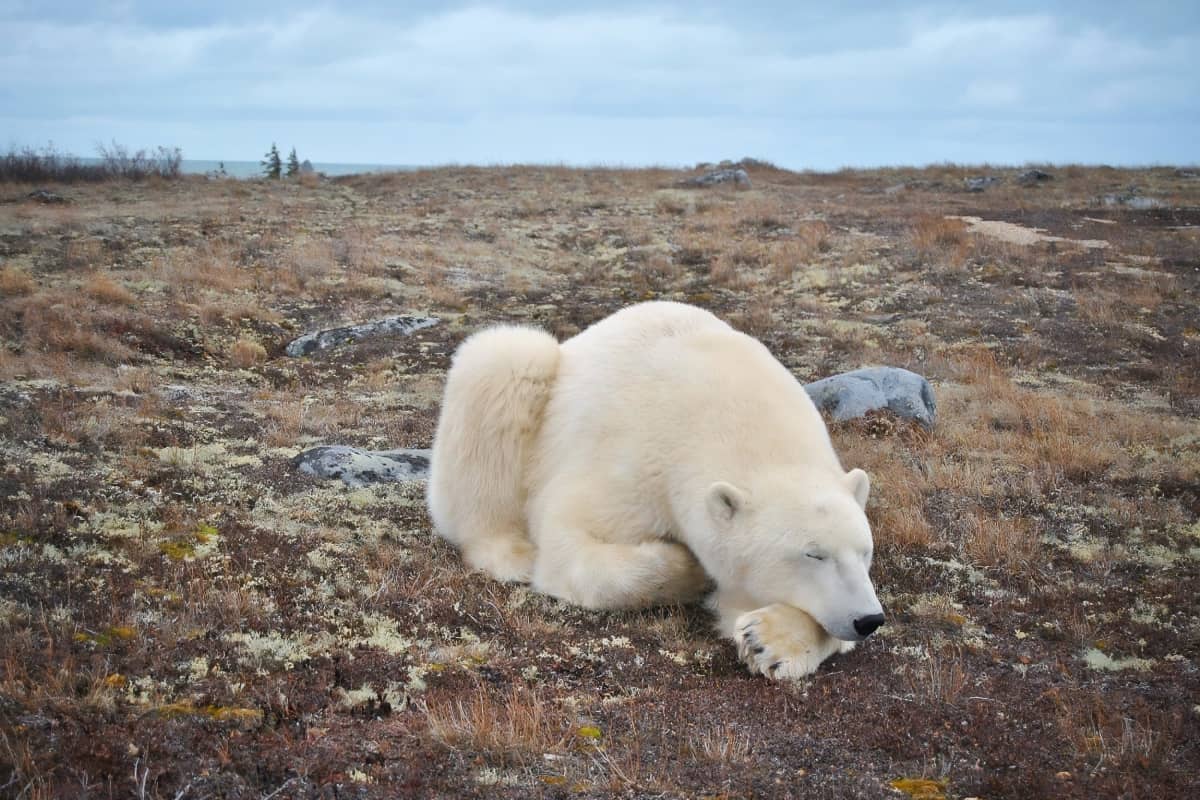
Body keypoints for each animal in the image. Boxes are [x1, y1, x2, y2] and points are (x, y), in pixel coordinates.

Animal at [427, 303, 888, 681]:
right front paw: (689, 570)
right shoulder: (633, 460)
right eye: (813, 554)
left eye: (864, 551)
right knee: (504, 364)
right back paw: (511, 553)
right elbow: (570, 541)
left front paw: (768, 640)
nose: (869, 619)